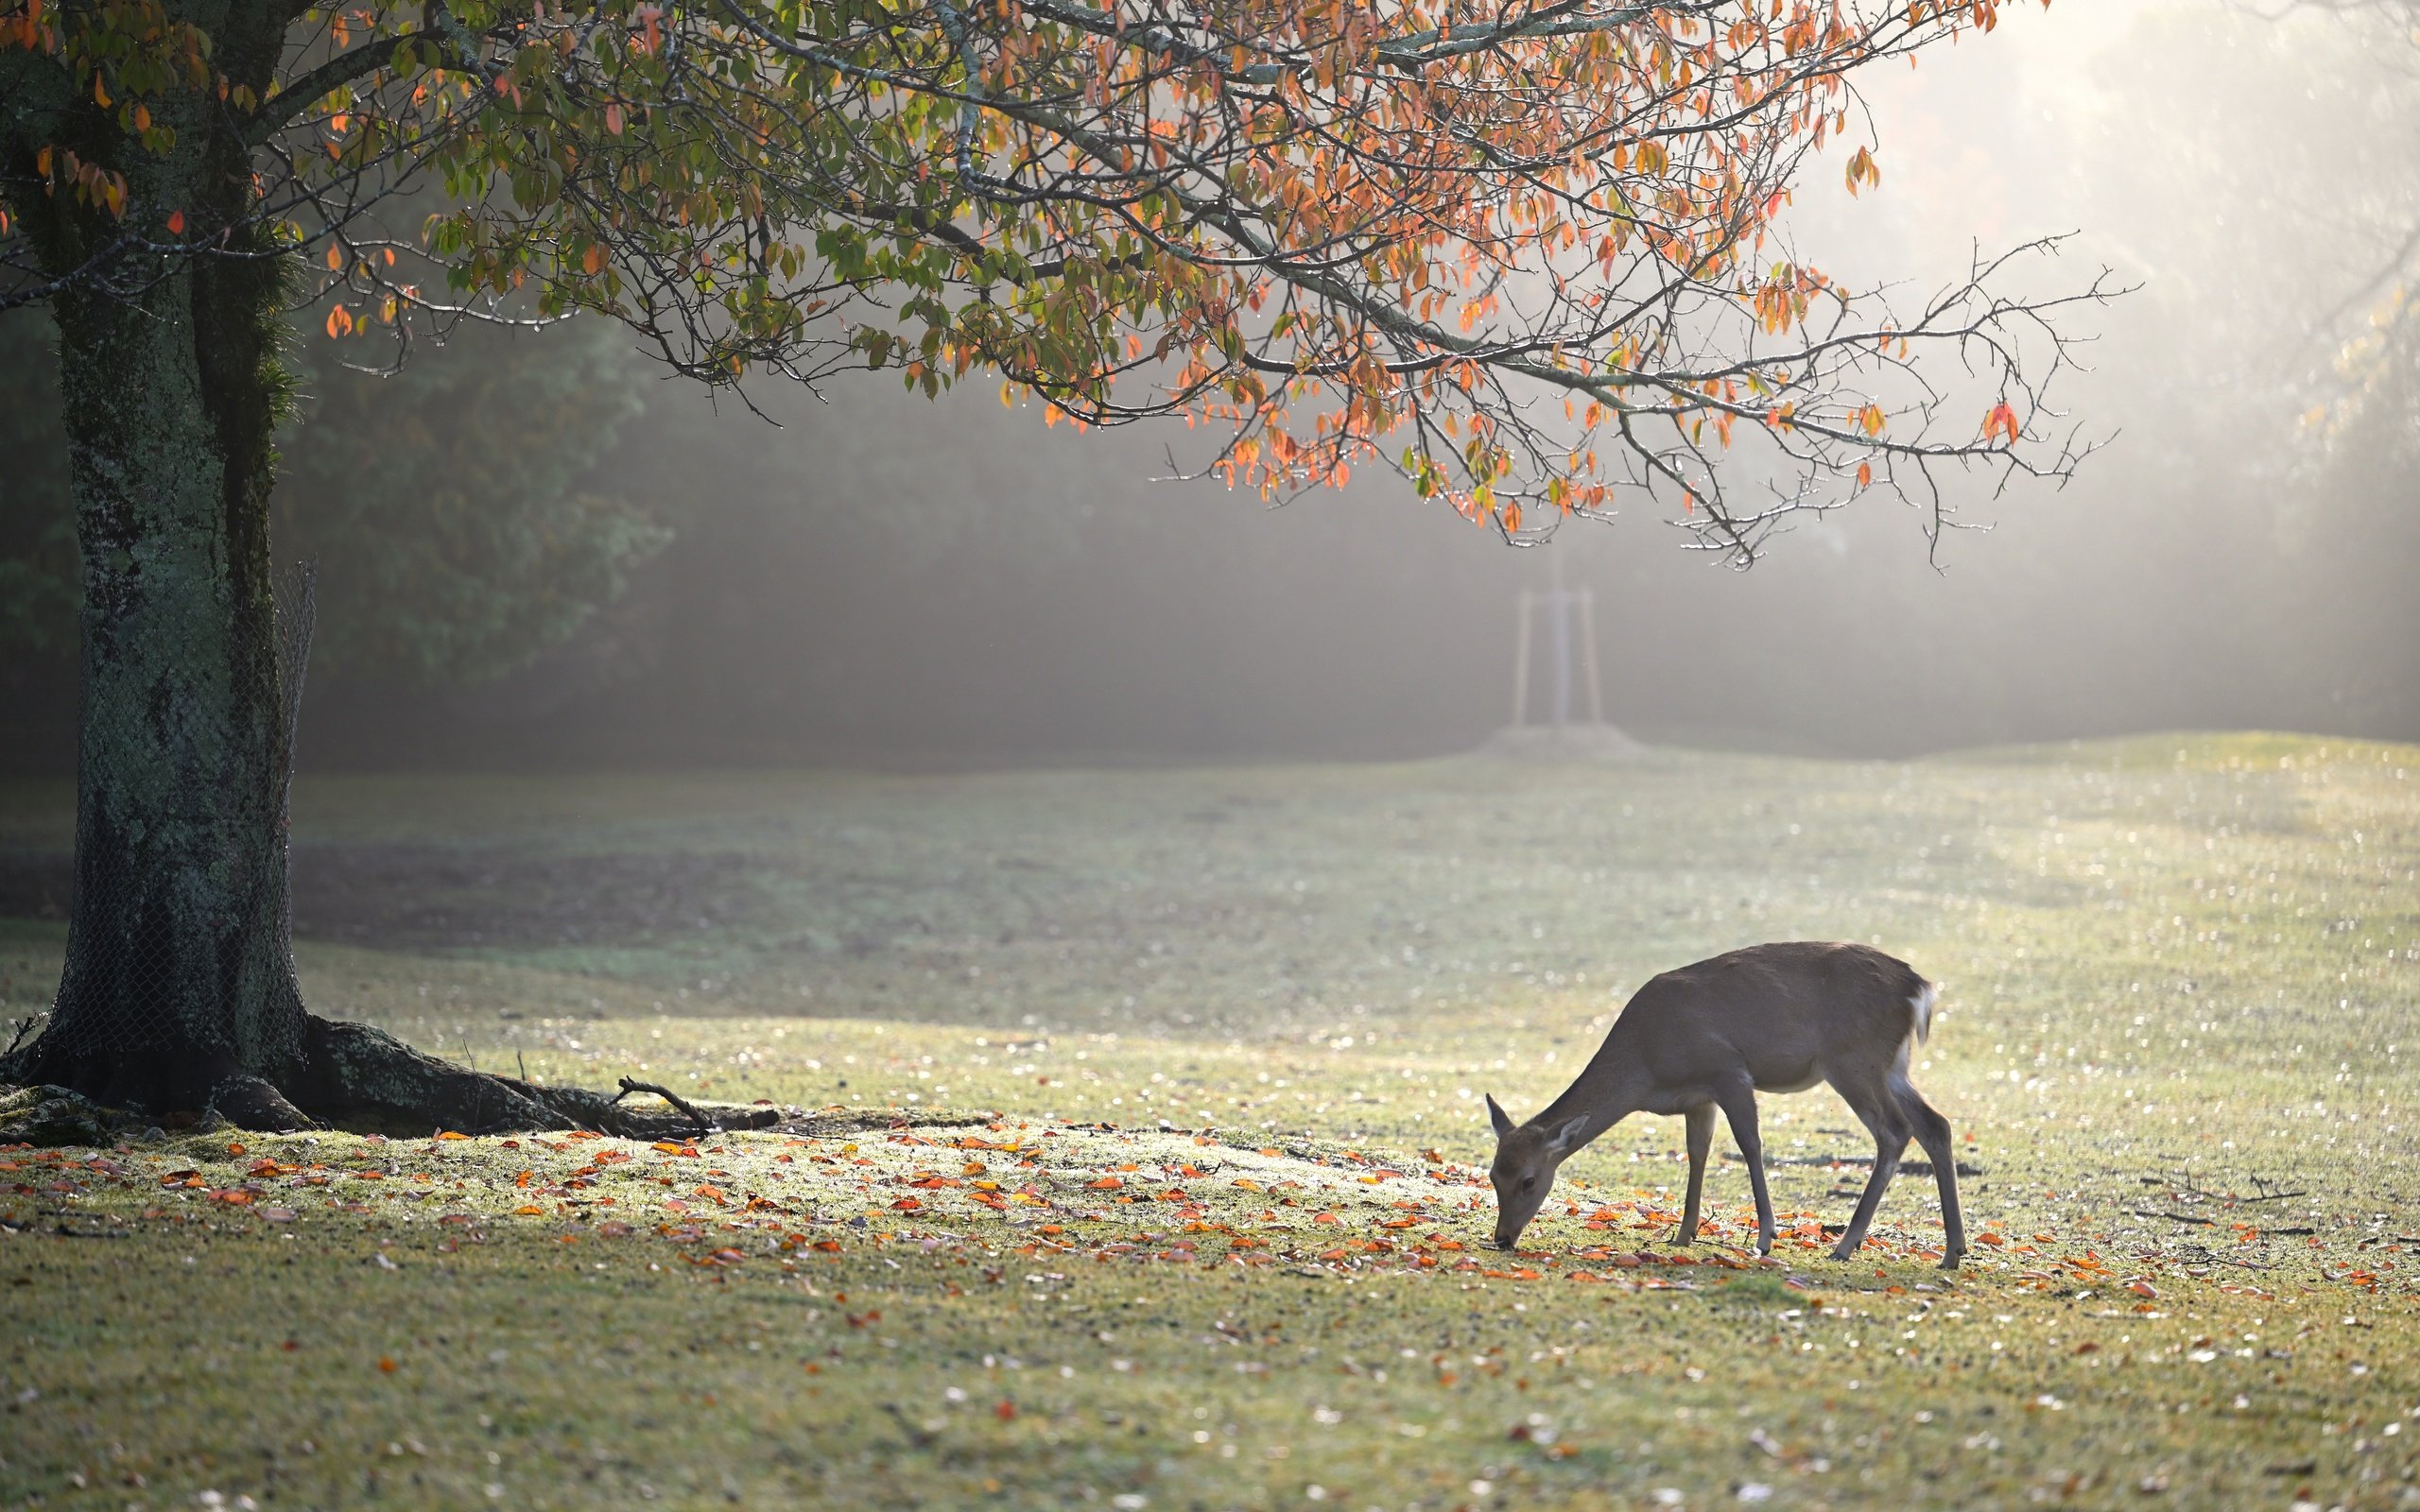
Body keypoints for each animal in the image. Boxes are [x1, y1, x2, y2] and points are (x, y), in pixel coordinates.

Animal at [1471, 938, 1964, 1267]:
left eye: (1529, 1181)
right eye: (1493, 1174)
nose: (1502, 1237)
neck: (1646, 1063)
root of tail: (1919, 989)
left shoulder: (1728, 1071)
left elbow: (1749, 1145)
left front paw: (1766, 1236)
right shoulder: (1698, 1097)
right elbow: (1698, 1153)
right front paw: (1684, 1234)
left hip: (1853, 1060)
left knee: (1895, 1131)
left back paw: (1846, 1245)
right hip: (1892, 1066)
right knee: (1935, 1124)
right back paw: (1952, 1251)